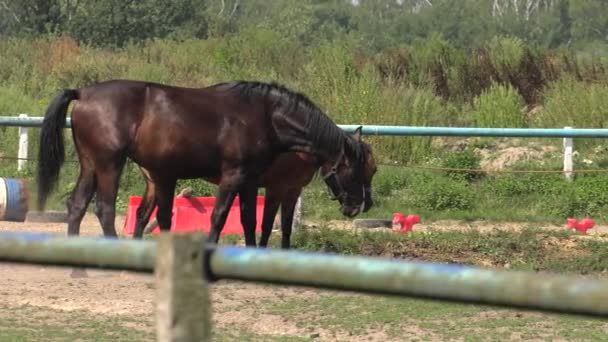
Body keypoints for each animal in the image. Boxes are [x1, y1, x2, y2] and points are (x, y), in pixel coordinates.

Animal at [35, 80, 378, 248]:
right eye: (357, 169)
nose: (361, 206)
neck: (265, 116)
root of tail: (83, 92)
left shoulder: (251, 180)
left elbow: (251, 220)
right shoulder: (234, 177)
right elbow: (219, 215)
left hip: (91, 164)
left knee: (77, 204)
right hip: (110, 164)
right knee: (104, 209)